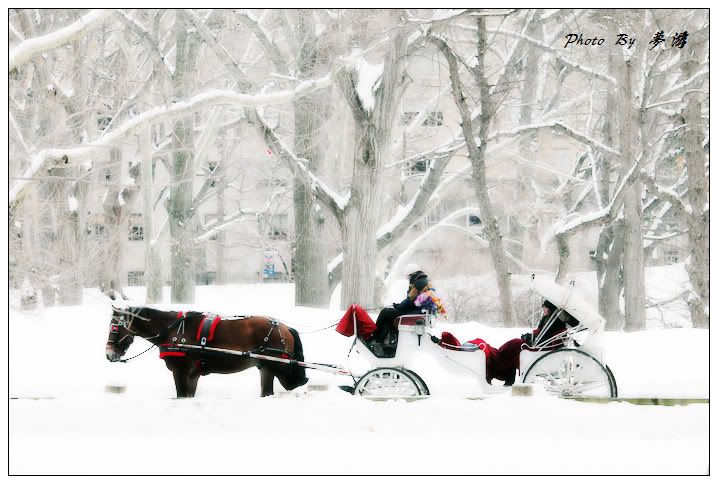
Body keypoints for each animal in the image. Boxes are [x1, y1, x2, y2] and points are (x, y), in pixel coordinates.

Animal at [105, 306, 308, 398]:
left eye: (115, 327)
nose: (109, 354)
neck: (173, 330)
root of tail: (284, 328)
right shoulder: (192, 375)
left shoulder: (180, 373)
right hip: (266, 369)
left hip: (278, 368)